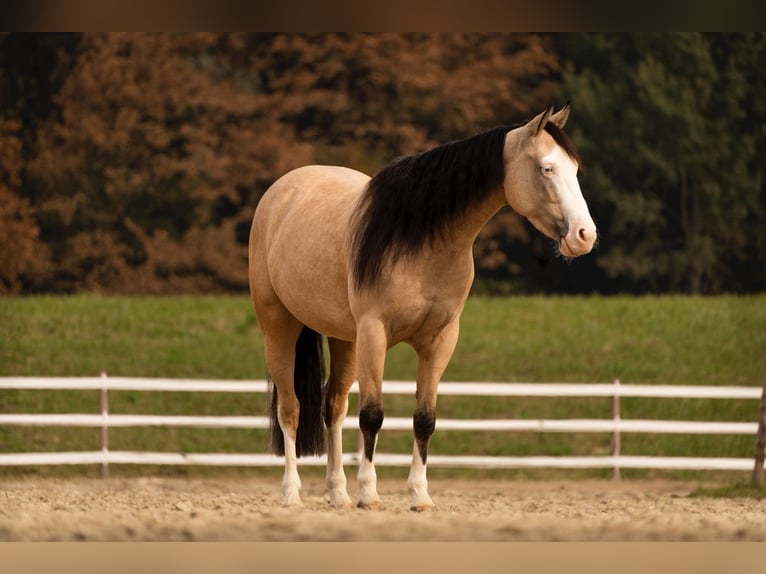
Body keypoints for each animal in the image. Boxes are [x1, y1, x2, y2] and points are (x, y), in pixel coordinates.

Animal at [248, 105, 597, 511]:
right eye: (546, 168)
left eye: (574, 168)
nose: (584, 235)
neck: (421, 242)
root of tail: (281, 191)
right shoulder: (374, 335)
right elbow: (372, 416)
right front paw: (370, 494)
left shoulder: (439, 341)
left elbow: (424, 419)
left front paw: (420, 495)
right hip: (279, 327)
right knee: (290, 410)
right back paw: (292, 493)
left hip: (344, 339)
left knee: (333, 408)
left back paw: (338, 493)